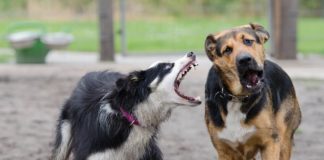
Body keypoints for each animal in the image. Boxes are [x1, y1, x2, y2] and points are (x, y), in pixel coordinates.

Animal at [205, 23, 302, 160]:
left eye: (248, 41)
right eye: (227, 50)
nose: (245, 59)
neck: (237, 98)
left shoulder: (270, 142)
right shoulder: (224, 150)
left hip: (284, 138)